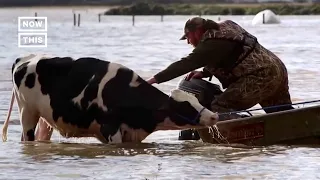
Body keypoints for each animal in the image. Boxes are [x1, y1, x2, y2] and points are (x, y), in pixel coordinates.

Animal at [1, 54, 218, 144]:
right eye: (186, 106)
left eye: (198, 101)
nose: (214, 116)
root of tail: (24, 59)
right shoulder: (110, 128)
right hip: (27, 112)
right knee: (27, 137)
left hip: (46, 118)